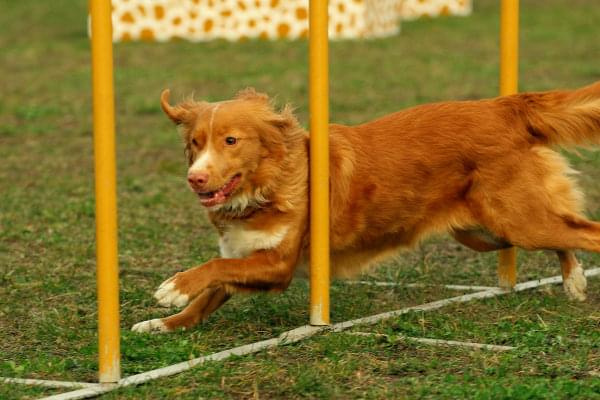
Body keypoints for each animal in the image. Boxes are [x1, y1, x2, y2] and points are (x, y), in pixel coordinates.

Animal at [132, 83, 600, 332]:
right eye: (196, 143)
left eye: (230, 141)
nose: (195, 178)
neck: (268, 184)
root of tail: (503, 106)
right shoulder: (248, 254)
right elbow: (211, 291)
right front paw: (164, 323)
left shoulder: (278, 264)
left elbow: (214, 268)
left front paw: (173, 287)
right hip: (486, 231)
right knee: (566, 230)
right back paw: (574, 280)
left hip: (517, 221)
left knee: (585, 231)